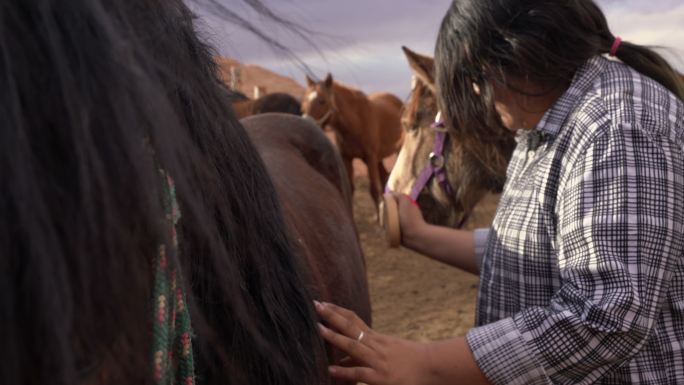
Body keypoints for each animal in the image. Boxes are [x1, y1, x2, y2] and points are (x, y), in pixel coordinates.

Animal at [300, 73, 406, 214]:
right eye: (304, 100)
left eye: (322, 101)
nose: (304, 126)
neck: (356, 122)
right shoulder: (347, 158)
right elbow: (350, 190)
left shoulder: (370, 159)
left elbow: (374, 191)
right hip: (379, 159)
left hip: (397, 151)